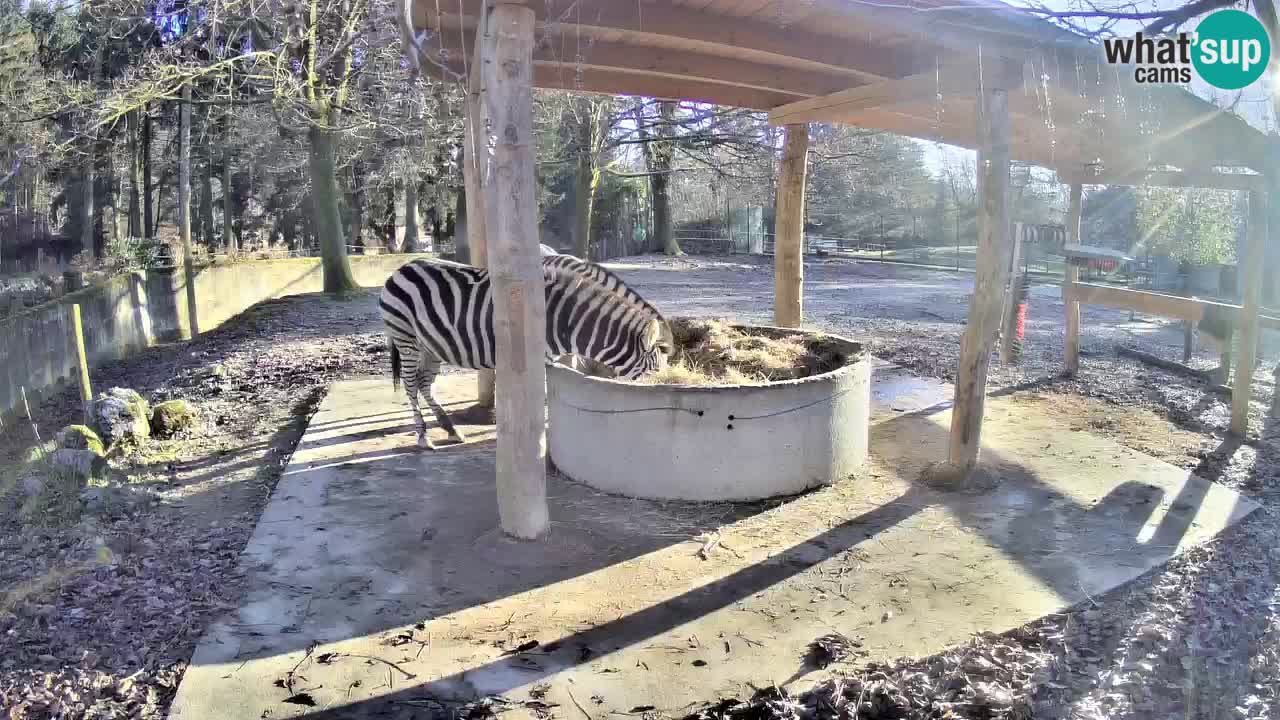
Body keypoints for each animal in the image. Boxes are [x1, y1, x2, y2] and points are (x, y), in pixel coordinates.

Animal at [376, 251, 675, 443]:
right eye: (654, 372)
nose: (663, 390)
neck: (566, 319)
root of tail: (400, 269)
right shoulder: (536, 356)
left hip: (431, 345)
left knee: (425, 384)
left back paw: (450, 429)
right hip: (406, 338)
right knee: (411, 384)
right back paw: (423, 436)